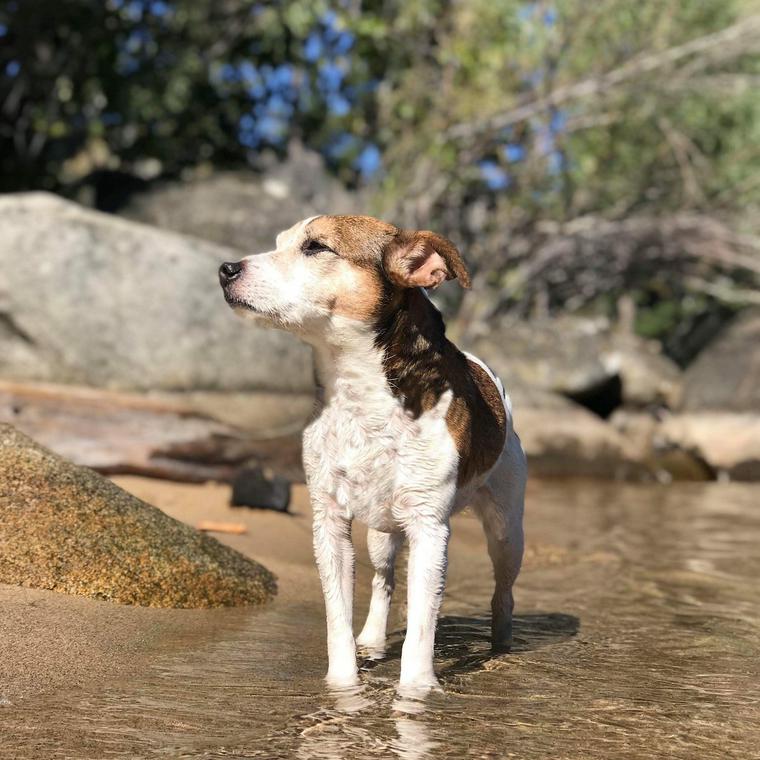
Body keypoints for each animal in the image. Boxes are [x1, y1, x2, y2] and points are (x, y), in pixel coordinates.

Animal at [217, 215, 524, 696]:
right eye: (279, 243)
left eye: (316, 247)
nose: (226, 269)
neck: (358, 393)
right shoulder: (329, 525)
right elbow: (338, 619)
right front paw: (343, 687)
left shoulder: (429, 529)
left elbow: (421, 628)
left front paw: (415, 694)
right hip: (381, 533)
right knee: (384, 579)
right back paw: (374, 639)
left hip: (507, 530)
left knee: (503, 593)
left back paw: (502, 646)